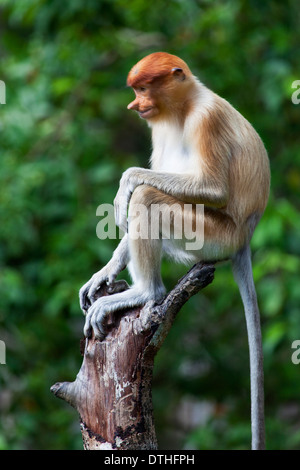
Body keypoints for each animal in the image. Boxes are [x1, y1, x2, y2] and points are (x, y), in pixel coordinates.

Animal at [79, 51, 270, 448]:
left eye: (143, 88)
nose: (134, 105)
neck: (184, 107)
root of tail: (244, 238)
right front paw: (103, 274)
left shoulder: (206, 120)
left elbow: (211, 188)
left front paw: (127, 181)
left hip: (213, 236)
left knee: (149, 198)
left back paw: (145, 293)